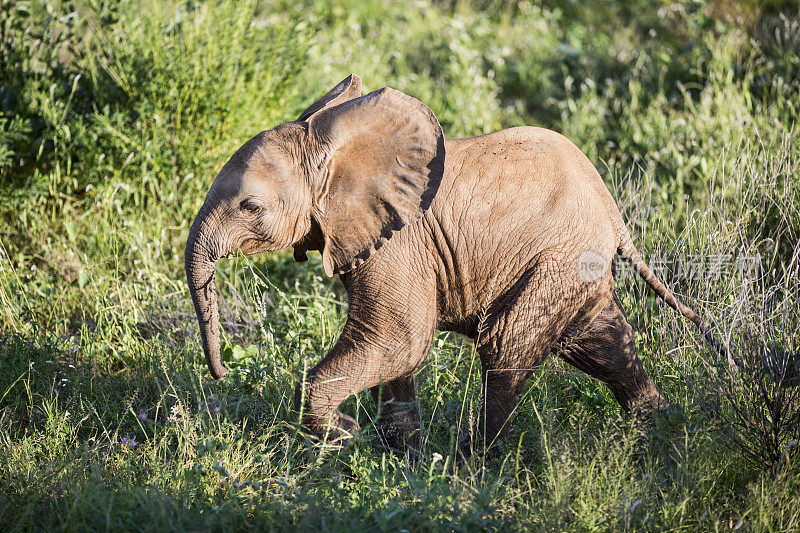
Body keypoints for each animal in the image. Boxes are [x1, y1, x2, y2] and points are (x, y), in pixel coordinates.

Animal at [186, 74, 712, 454]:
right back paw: (662, 433)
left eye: (250, 207)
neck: (338, 154)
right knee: (605, 344)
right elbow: (393, 350)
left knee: (507, 346)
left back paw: (468, 464)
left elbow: (399, 339)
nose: (221, 374)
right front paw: (399, 458)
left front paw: (347, 435)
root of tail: (612, 209)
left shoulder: (400, 244)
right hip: (575, 266)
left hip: (556, 259)